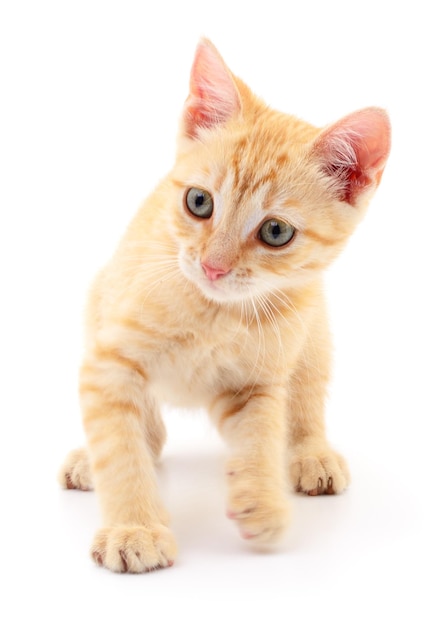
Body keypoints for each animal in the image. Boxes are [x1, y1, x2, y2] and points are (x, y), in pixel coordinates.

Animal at [58, 37, 392, 572]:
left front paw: (261, 499)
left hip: (313, 334)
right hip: (99, 299)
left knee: (304, 396)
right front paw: (134, 527)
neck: (217, 312)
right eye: (199, 202)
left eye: (275, 231)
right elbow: (121, 448)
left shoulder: (255, 384)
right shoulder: (109, 362)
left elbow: (259, 435)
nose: (212, 266)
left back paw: (310, 453)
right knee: (146, 433)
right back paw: (91, 461)